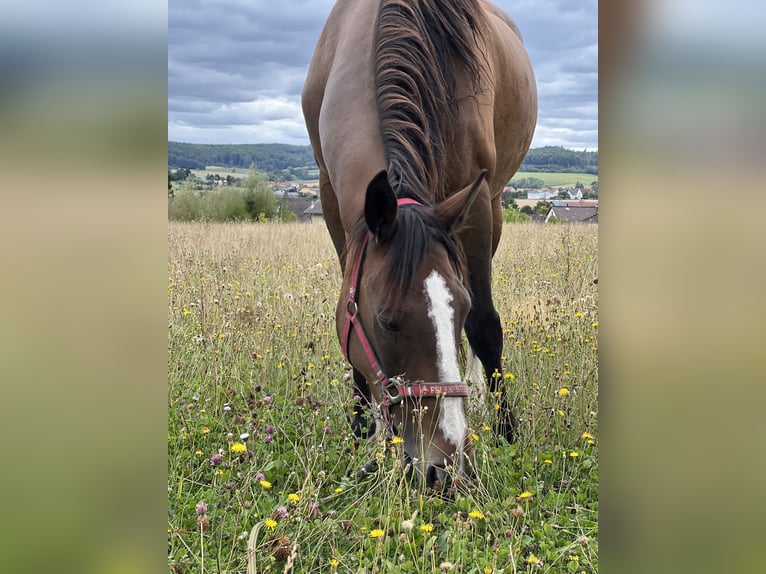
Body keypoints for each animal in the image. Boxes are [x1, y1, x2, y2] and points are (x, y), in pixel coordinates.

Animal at [302, 0, 537, 486]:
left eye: (460, 308)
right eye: (387, 322)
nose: (445, 468)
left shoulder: (475, 199)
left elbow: (485, 326)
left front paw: (507, 431)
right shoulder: (331, 199)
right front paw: (361, 429)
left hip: (494, 204)